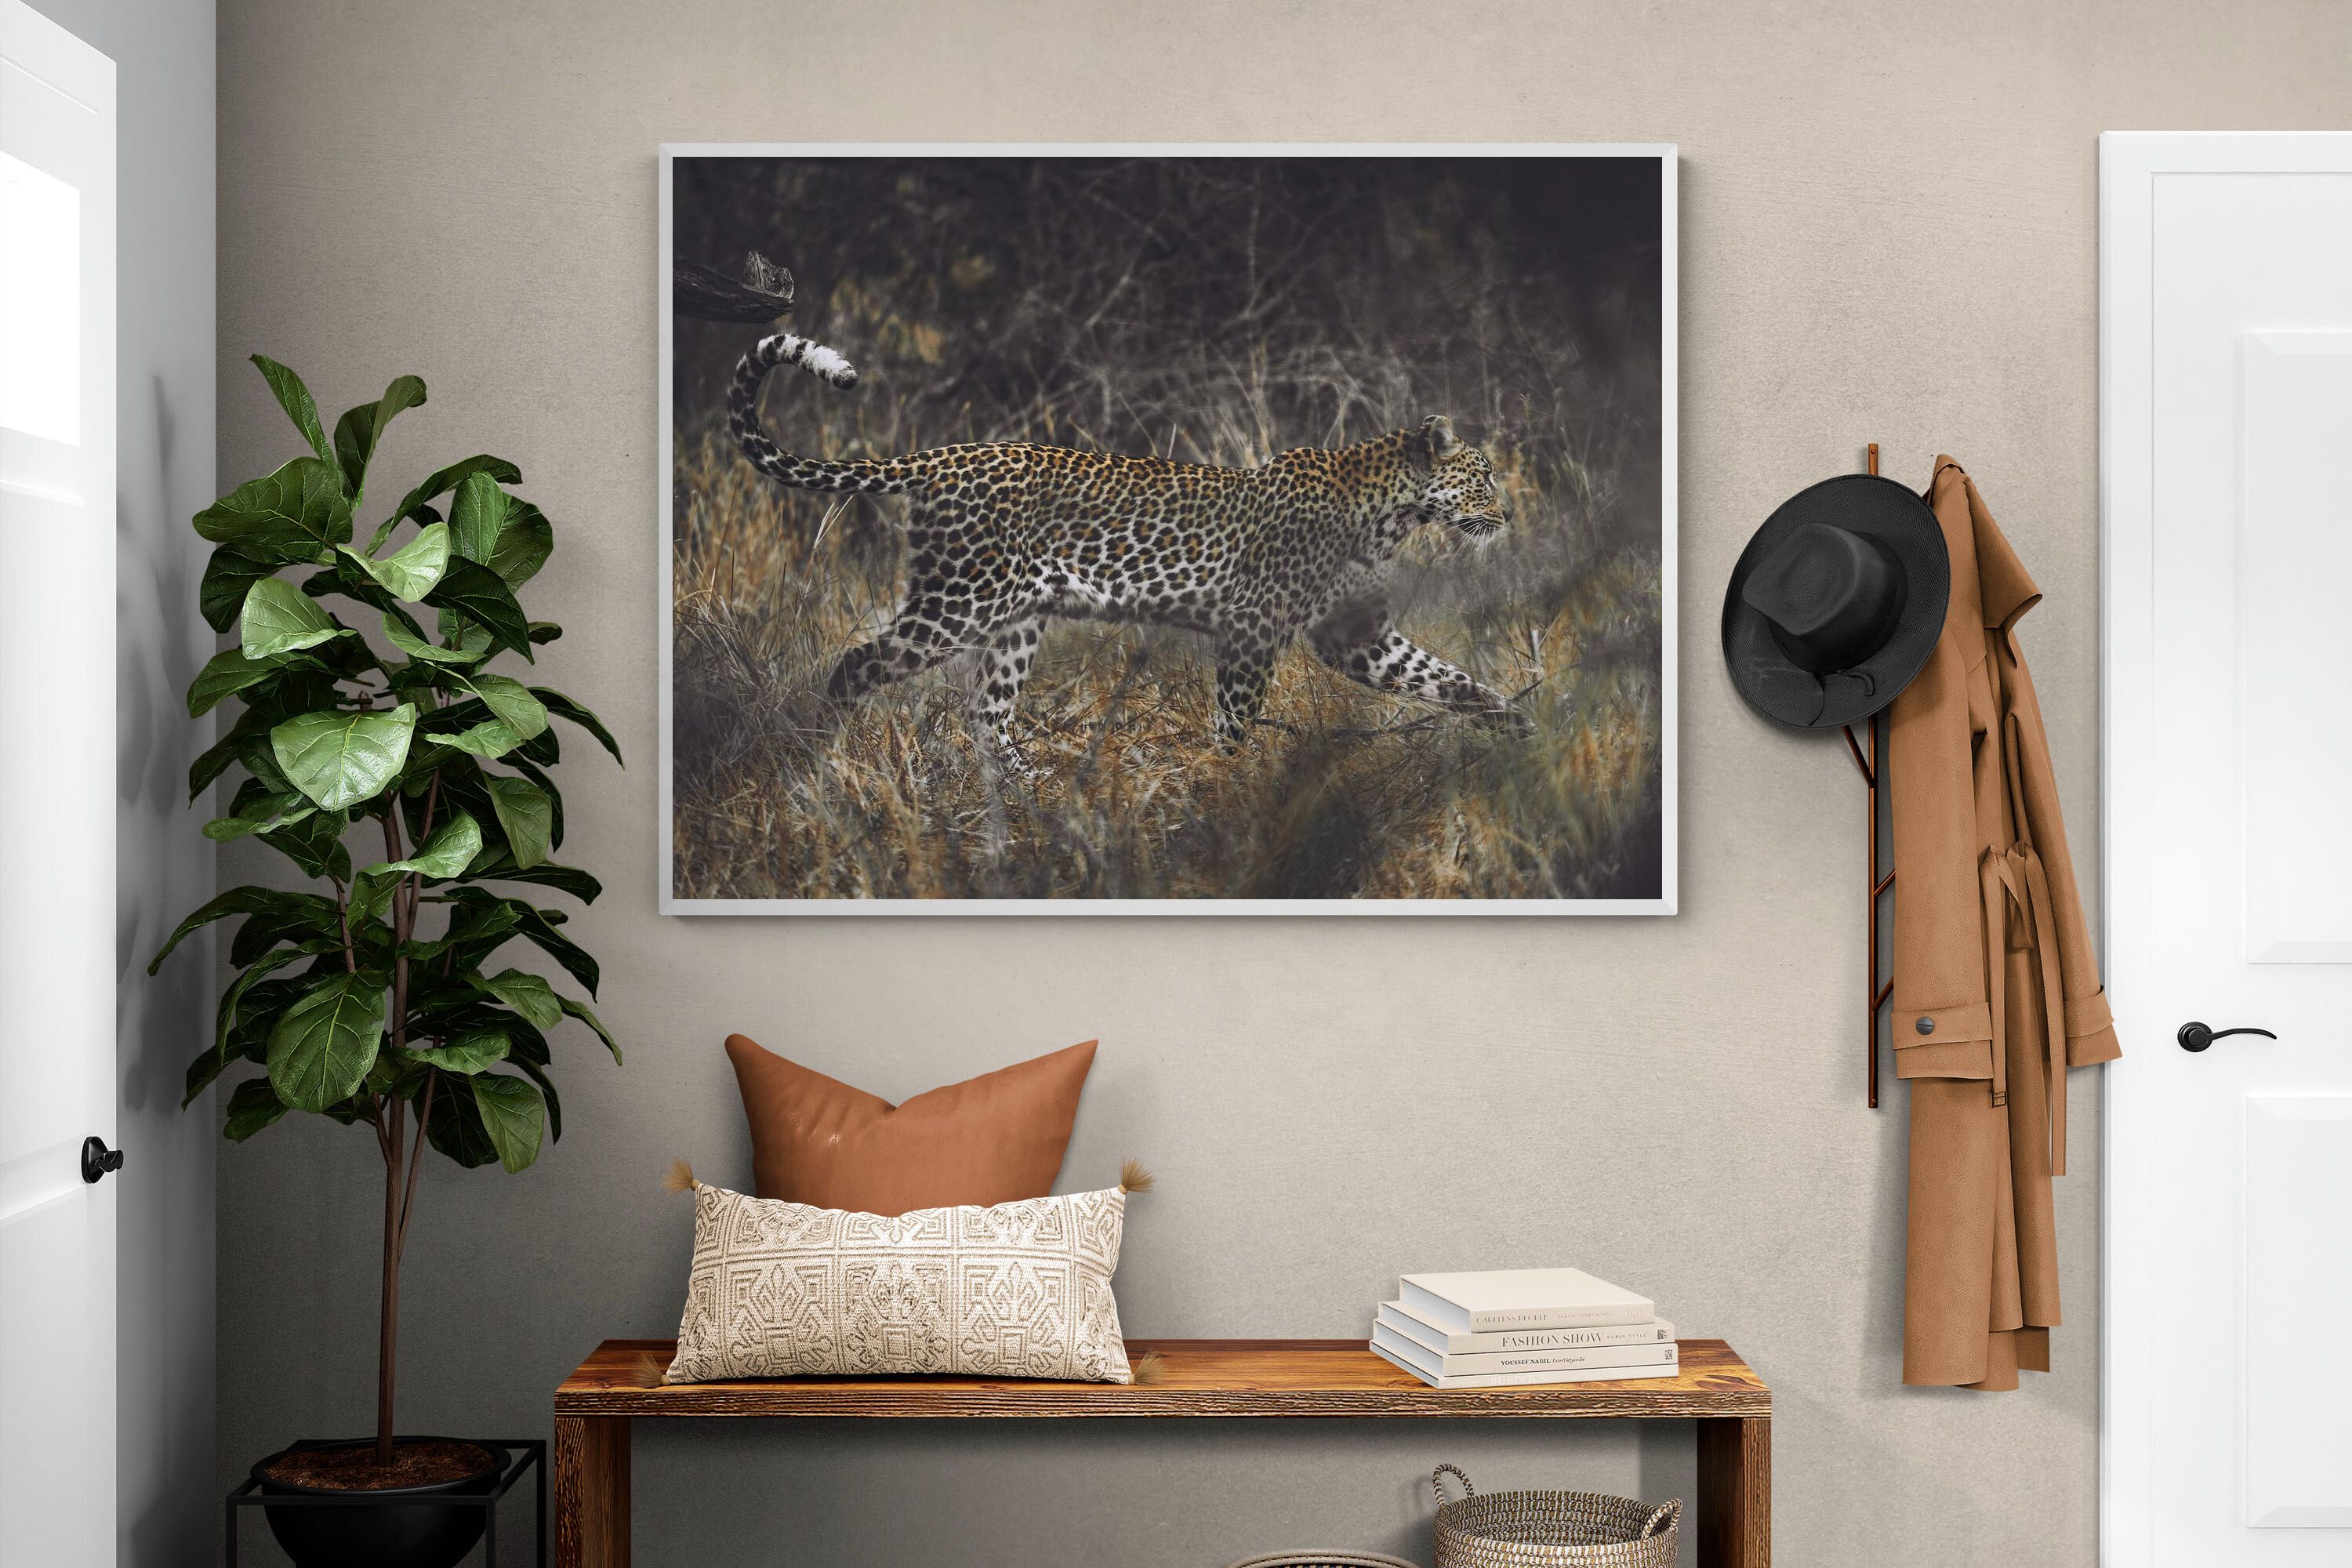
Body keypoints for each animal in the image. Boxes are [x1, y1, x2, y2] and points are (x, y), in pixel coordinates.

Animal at [726, 329, 1528, 758]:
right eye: (1483, 475)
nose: (1511, 515)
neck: (1390, 512)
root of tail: (942, 455)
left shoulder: (1353, 636)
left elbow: (1444, 677)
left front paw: (1520, 724)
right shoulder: (1253, 629)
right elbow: (1235, 718)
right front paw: (1228, 789)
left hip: (1016, 619)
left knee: (987, 715)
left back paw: (1030, 794)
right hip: (960, 601)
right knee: (857, 665)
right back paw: (819, 758)